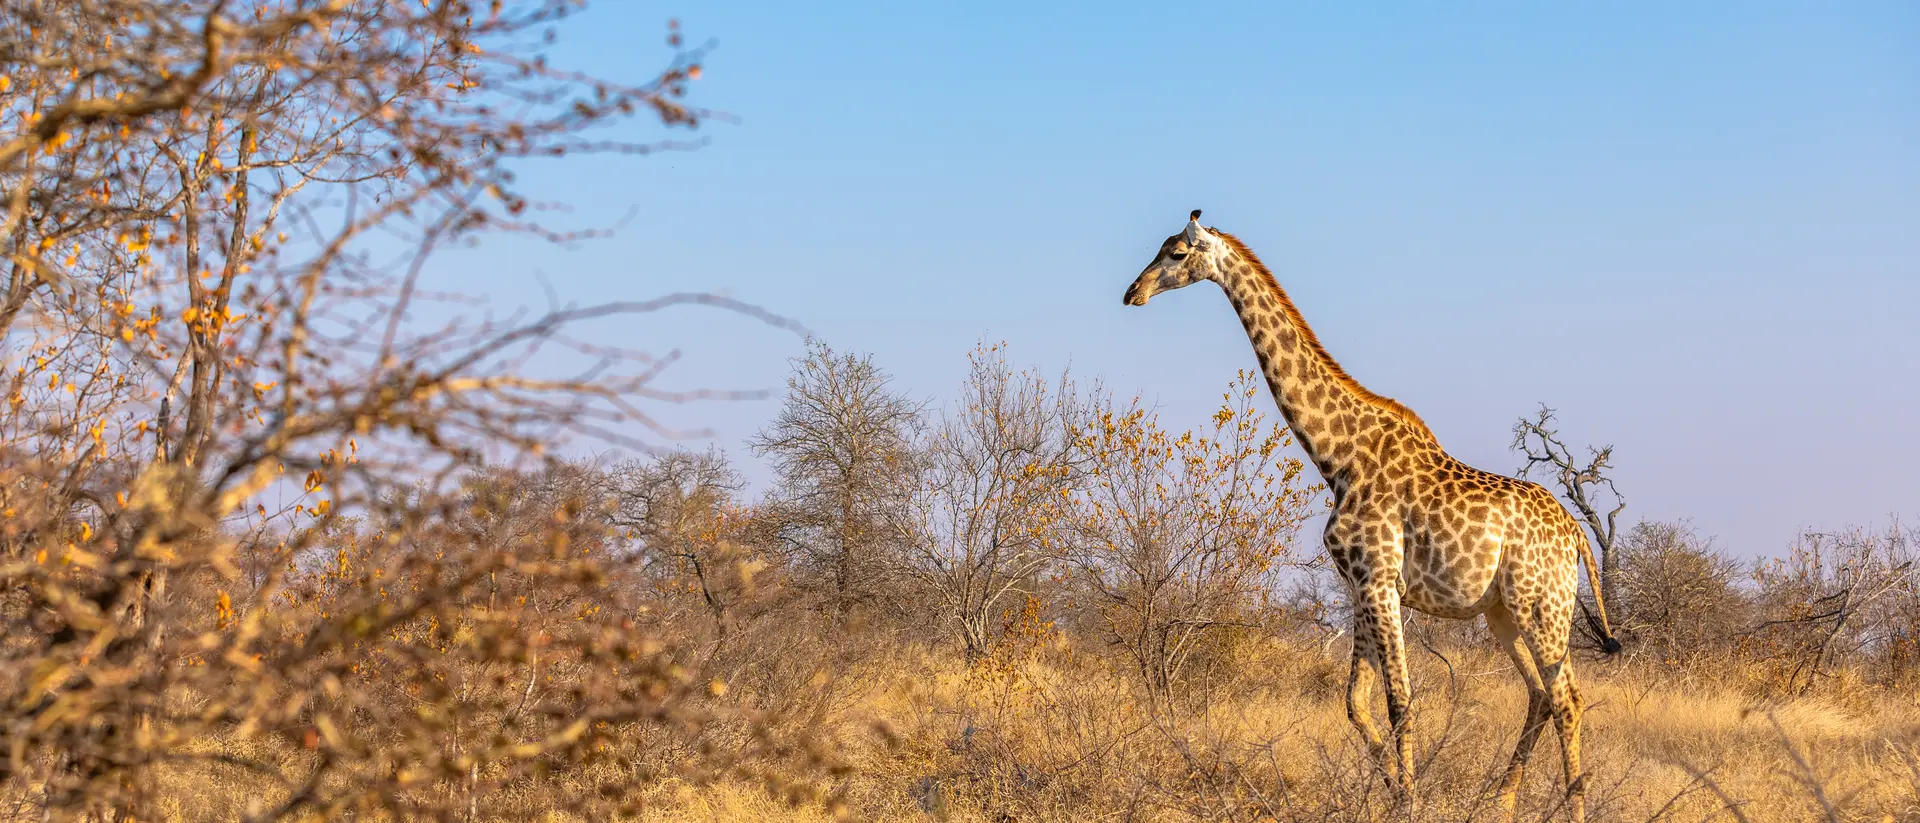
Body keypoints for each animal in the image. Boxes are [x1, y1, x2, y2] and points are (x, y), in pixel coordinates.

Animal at [1121, 211, 1621, 822]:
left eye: (1174, 254)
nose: (1132, 292)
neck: (1337, 457)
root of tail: (1575, 532)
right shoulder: (1361, 584)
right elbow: (1355, 702)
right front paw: (1394, 790)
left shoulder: (1380, 580)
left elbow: (1399, 700)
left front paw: (1409, 799)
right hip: (1503, 613)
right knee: (1541, 694)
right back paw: (1500, 801)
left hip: (1542, 604)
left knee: (1567, 697)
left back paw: (1570, 807)